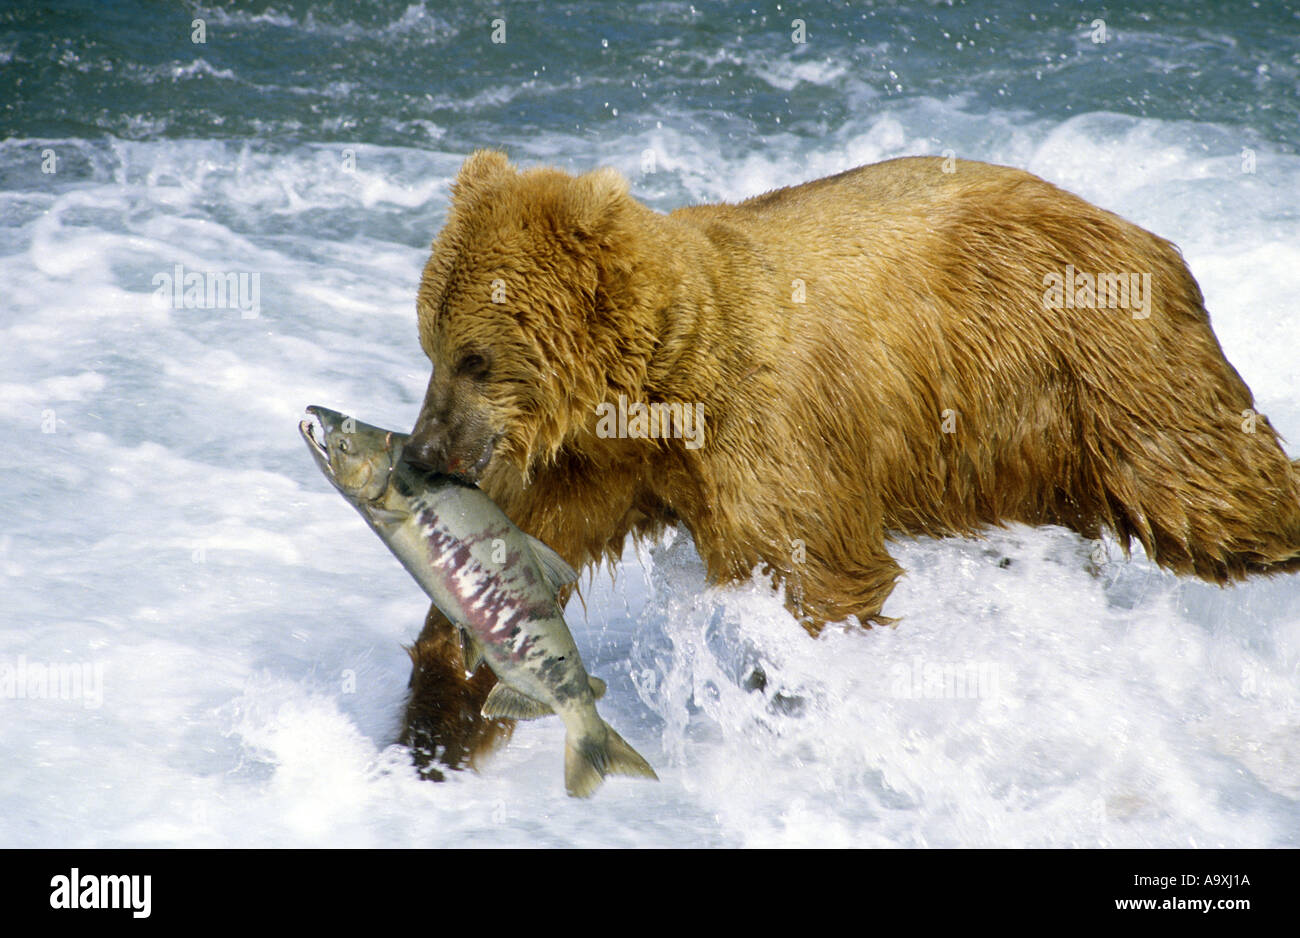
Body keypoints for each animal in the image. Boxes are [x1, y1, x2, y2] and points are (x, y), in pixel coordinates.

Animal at [392, 148, 1300, 774]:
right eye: (430, 345)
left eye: (475, 357)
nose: (426, 451)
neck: (657, 389)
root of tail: (1146, 234)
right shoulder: (595, 467)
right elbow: (500, 577)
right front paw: (434, 731)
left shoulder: (768, 435)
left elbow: (816, 582)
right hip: (1011, 452)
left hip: (1106, 367)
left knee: (1211, 492)